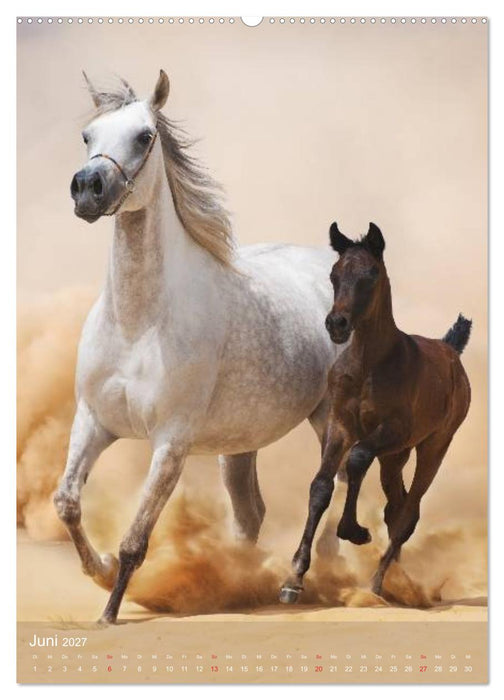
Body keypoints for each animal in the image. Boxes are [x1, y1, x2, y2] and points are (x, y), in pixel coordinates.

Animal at [53, 69, 344, 625]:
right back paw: (241, 587)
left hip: (329, 420)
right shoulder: (93, 422)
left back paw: (306, 580)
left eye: (144, 136)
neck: (138, 324)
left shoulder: (171, 443)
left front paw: (109, 613)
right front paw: (98, 570)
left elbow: (135, 540)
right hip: (240, 444)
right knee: (251, 514)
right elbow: (68, 503)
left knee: (331, 490)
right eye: (87, 135)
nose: (88, 190)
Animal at [280, 222, 471, 603]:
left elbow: (356, 459)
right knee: (395, 506)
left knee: (408, 512)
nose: (336, 324)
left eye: (371, 274)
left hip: (433, 446)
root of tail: (450, 350)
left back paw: (377, 583)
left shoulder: (391, 431)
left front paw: (354, 531)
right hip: (395, 457)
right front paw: (293, 579)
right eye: (334, 274)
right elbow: (320, 486)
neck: (369, 363)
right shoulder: (339, 425)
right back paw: (398, 578)